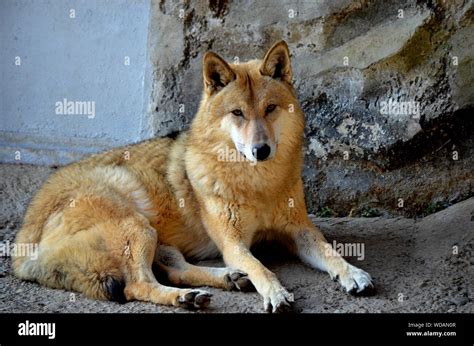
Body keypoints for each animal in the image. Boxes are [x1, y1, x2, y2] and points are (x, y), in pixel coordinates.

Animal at [12, 41, 374, 314]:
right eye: (238, 113)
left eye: (270, 109)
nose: (261, 150)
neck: (257, 184)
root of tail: (21, 249)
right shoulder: (233, 243)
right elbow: (260, 267)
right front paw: (275, 292)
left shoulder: (299, 231)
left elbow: (330, 252)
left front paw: (352, 273)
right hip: (137, 225)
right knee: (138, 285)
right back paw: (186, 297)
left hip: (154, 239)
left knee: (174, 269)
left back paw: (226, 280)